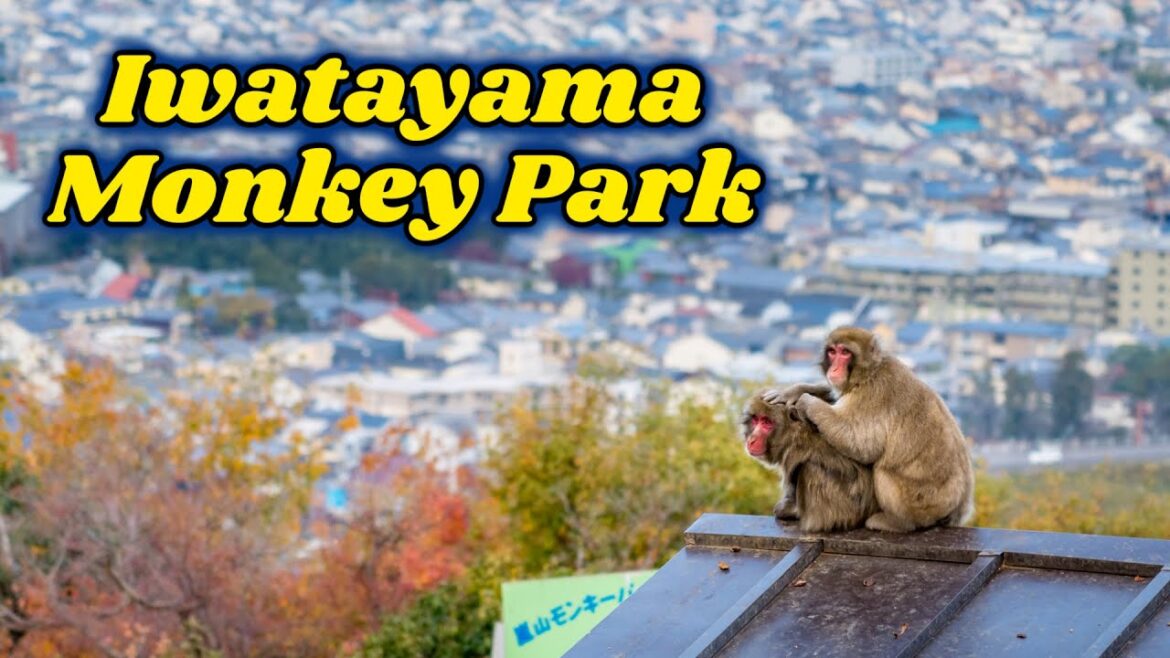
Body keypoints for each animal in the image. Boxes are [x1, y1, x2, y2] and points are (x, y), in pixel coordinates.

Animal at [741, 388, 878, 533]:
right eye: (756, 419)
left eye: (767, 422)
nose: (752, 440)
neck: (793, 433)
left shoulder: (792, 453)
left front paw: (792, 510)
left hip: (847, 511)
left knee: (810, 468)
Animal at [764, 327, 974, 533]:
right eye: (832, 352)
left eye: (845, 352)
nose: (834, 368)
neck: (870, 372)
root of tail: (958, 510)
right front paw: (794, 391)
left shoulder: (873, 394)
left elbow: (861, 444)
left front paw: (807, 402)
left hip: (923, 503)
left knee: (883, 471)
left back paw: (897, 523)